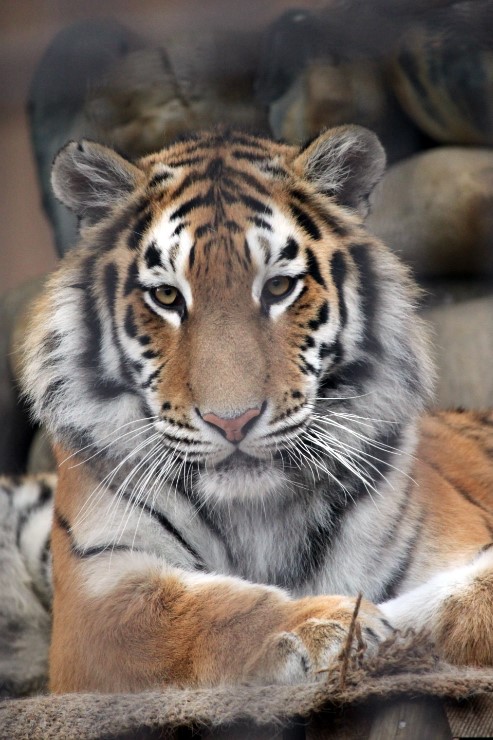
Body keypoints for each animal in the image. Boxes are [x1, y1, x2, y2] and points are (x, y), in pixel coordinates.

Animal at [16, 124, 493, 693]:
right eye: (167, 297)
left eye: (279, 287)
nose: (232, 421)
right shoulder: (98, 591)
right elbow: (210, 612)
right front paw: (327, 625)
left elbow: (462, 599)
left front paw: (370, 627)